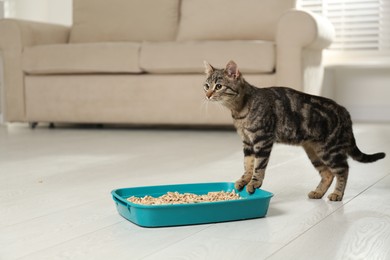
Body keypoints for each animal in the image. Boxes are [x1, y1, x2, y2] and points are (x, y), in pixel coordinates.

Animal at [206, 61, 386, 201]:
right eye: (206, 85)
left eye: (219, 86)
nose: (207, 95)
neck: (239, 111)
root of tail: (345, 111)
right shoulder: (247, 142)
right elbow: (248, 164)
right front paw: (244, 180)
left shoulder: (262, 140)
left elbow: (259, 165)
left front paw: (254, 183)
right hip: (314, 152)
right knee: (328, 173)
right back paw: (318, 192)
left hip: (329, 149)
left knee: (343, 169)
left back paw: (337, 194)